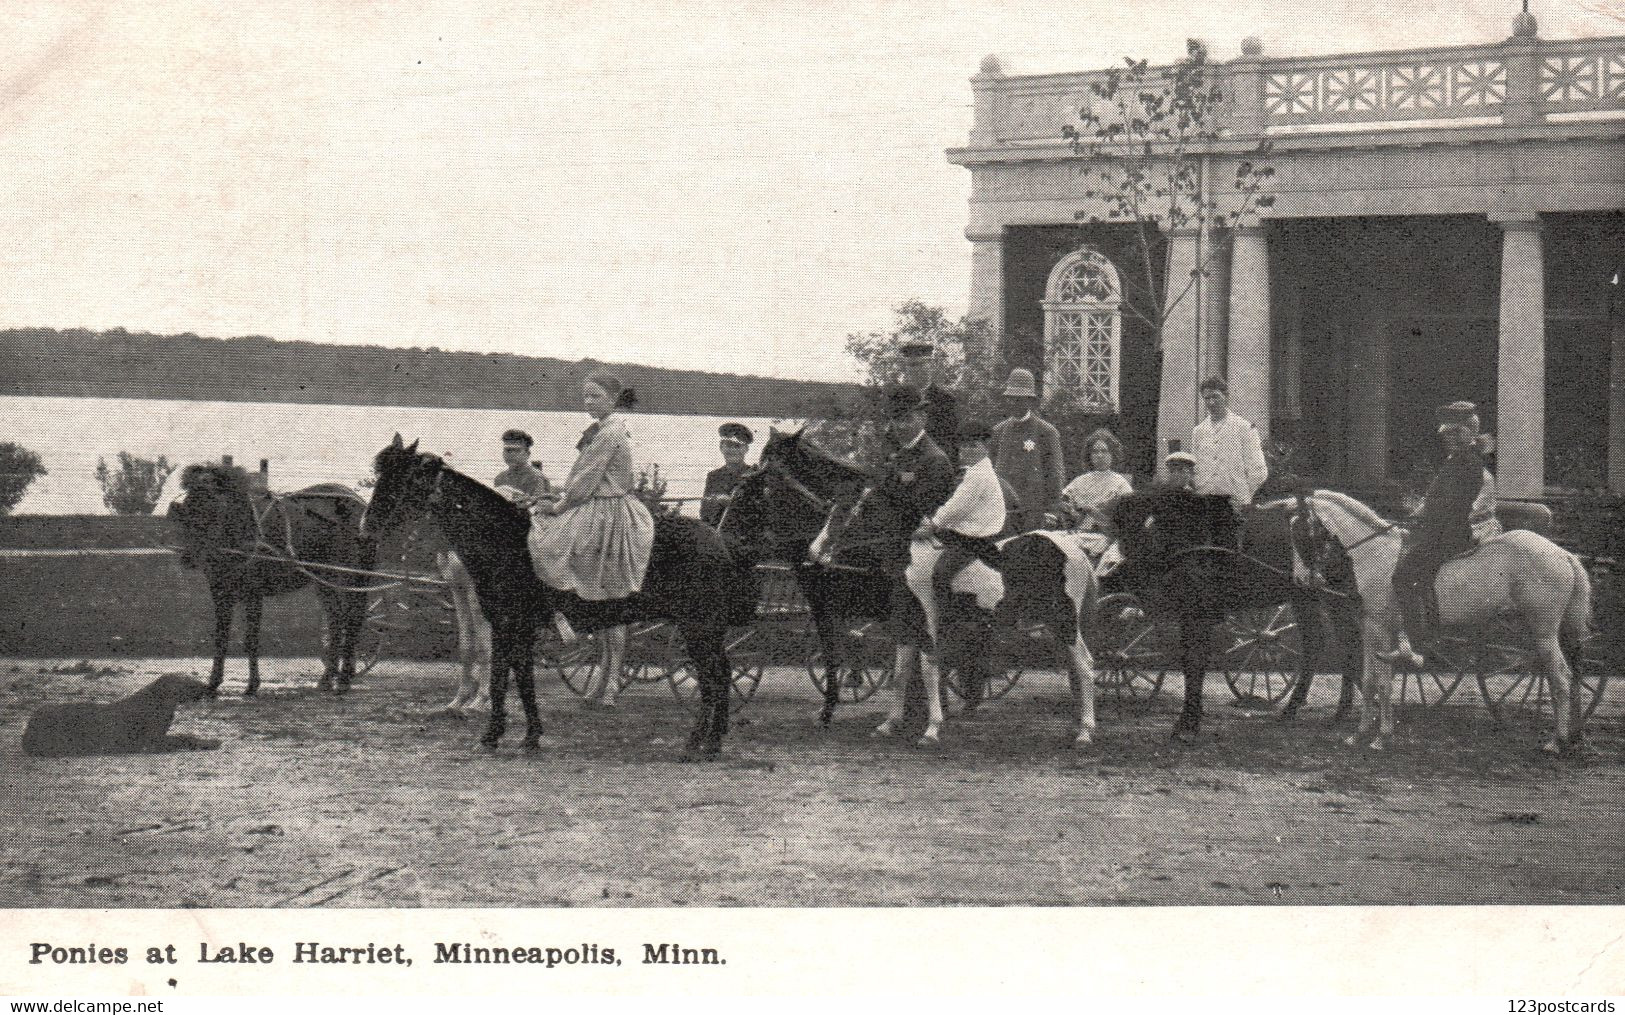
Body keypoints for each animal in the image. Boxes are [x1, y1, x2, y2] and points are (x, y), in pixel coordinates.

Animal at [169, 464, 375, 691]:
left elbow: (251, 639)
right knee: (337, 620)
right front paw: (214, 681)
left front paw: (252, 684)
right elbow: (221, 637)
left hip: (346, 575)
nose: (189, 558)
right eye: (188, 507)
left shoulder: (253, 592)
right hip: (323, 579)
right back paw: (329, 678)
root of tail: (358, 502)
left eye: (215, 507)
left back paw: (344, 678)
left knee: (352, 618)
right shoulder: (220, 592)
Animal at [365, 435, 757, 760]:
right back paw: (709, 739)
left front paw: (492, 733)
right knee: (718, 673)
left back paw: (700, 741)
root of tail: (720, 541)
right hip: (705, 628)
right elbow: (519, 677)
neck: (504, 539)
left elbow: (502, 676)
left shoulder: (509, 622)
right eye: (381, 474)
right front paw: (526, 736)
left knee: (713, 676)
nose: (367, 527)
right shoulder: (513, 625)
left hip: (698, 626)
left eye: (404, 478)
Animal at [1105, 487, 1358, 740]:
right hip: (1304, 596)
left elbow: (1196, 661)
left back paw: (1342, 711)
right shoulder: (1189, 614)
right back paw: (1292, 709)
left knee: (1350, 645)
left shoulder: (1200, 614)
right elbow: (1189, 662)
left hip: (1337, 595)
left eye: (1149, 532)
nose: (1112, 574)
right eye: (1123, 534)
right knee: (1315, 644)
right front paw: (1187, 721)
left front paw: (1189, 725)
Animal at [1300, 490, 1592, 753]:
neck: (1375, 554)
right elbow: (1371, 680)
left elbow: (1383, 683)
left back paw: (1557, 741)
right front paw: (1359, 735)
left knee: (1560, 677)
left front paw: (1381, 737)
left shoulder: (1379, 629)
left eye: (1298, 527)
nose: (1304, 578)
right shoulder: (1372, 631)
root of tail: (1562, 553)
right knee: (1573, 674)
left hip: (1543, 632)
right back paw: (1574, 736)